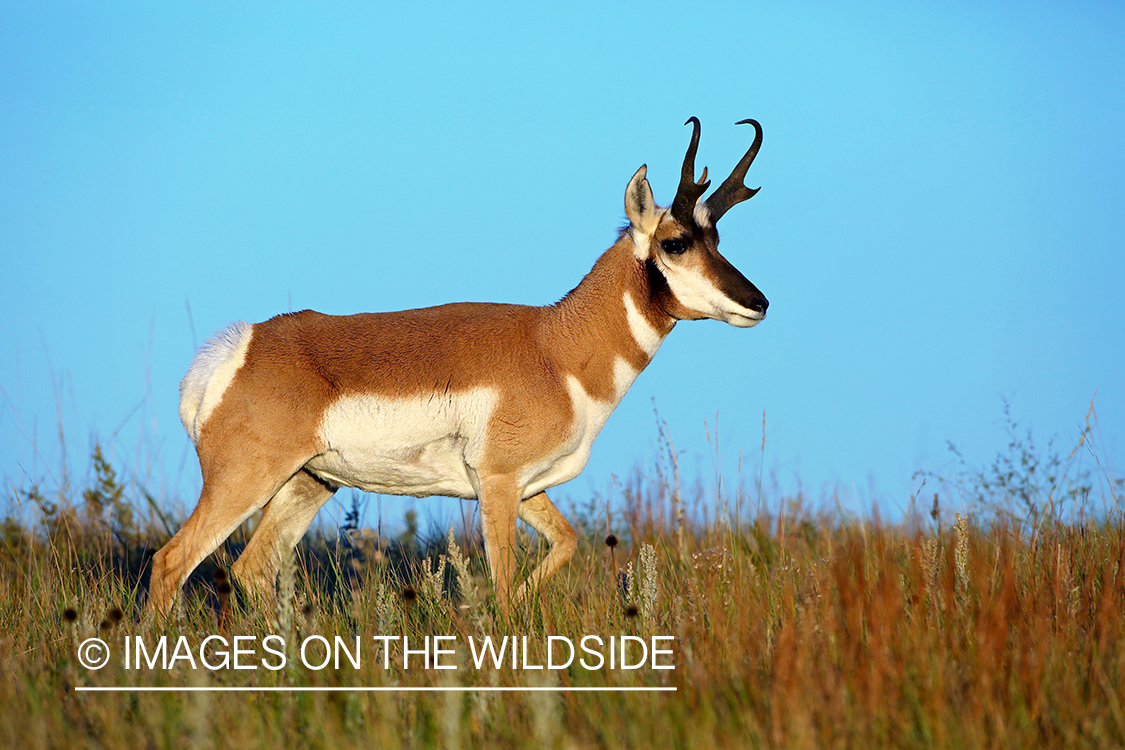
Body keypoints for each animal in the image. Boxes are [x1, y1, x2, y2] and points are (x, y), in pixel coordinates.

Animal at [147, 115, 765, 611]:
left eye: (717, 237)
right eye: (677, 242)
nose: (759, 302)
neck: (555, 346)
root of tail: (240, 347)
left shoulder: (530, 487)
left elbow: (565, 544)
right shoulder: (497, 483)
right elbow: (506, 588)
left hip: (308, 483)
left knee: (250, 568)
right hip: (244, 482)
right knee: (169, 562)